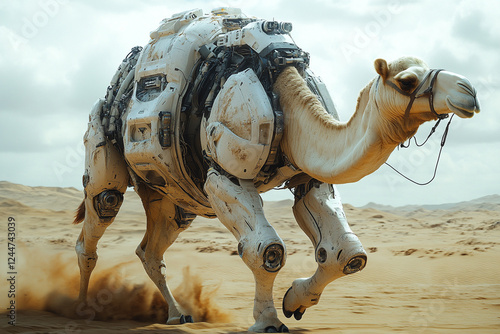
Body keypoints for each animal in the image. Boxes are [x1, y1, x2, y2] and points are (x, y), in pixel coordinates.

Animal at [72, 8, 478, 334]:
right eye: (406, 81)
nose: (469, 90)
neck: (281, 83)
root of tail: (116, 86)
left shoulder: (309, 179)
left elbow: (347, 254)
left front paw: (294, 302)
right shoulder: (225, 175)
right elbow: (268, 251)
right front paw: (268, 321)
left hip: (172, 199)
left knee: (151, 249)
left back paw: (176, 314)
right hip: (103, 145)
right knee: (101, 208)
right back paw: (82, 308)